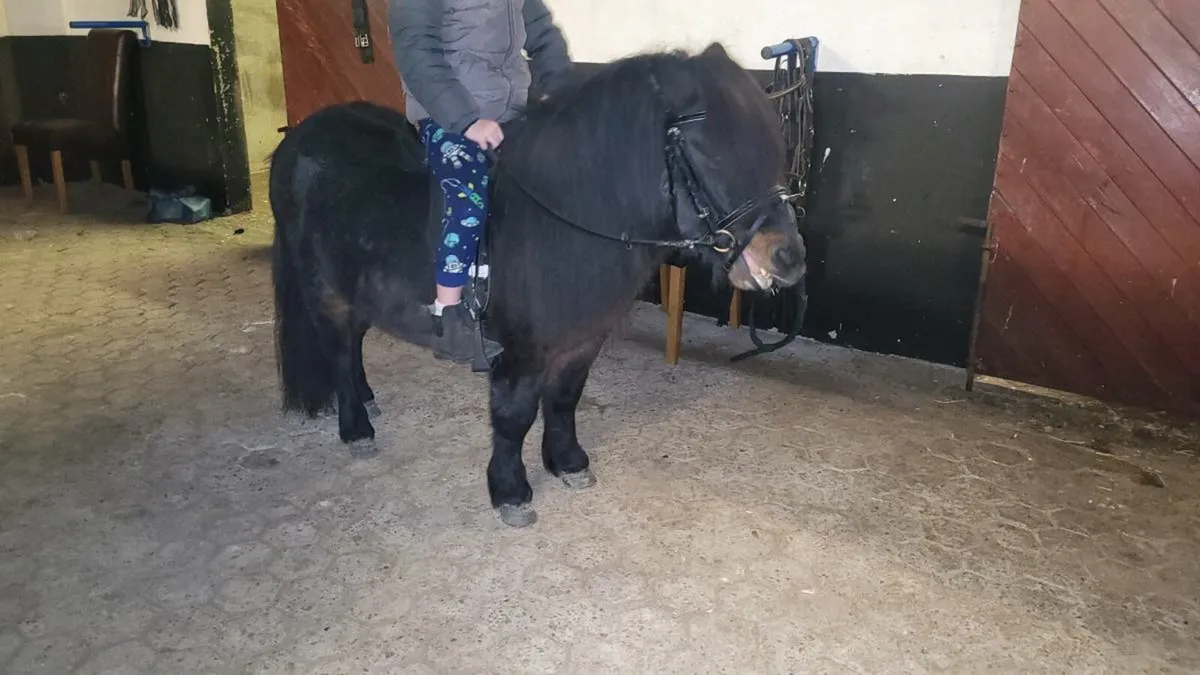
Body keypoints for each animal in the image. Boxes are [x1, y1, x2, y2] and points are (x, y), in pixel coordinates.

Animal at [268, 42, 808, 527]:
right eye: (713, 155)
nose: (790, 258)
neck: (561, 220)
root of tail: (298, 140)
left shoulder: (582, 341)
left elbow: (565, 400)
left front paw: (568, 463)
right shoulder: (521, 353)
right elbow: (514, 417)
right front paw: (510, 491)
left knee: (356, 343)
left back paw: (365, 398)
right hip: (327, 294)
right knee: (339, 351)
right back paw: (356, 427)